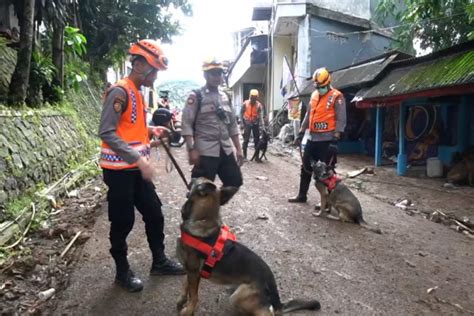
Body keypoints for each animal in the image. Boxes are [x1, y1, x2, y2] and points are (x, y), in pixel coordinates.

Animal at [176, 179, 320, 314]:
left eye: (198, 179)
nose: (192, 177)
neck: (202, 220)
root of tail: (270, 281)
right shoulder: (191, 272)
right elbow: (185, 286)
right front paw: (182, 300)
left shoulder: (194, 272)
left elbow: (193, 296)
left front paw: (188, 310)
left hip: (238, 297)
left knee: (268, 312)